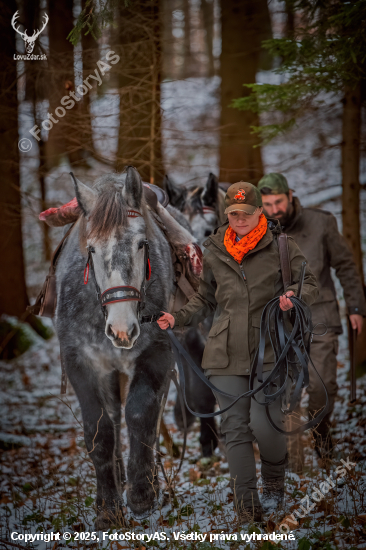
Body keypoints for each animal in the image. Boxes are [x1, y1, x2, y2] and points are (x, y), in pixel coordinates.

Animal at [54, 168, 197, 532]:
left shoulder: (157, 354)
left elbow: (141, 414)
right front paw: (107, 507)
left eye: (141, 244)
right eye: (91, 249)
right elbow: (100, 429)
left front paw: (142, 494)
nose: (122, 329)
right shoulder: (81, 363)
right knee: (114, 418)